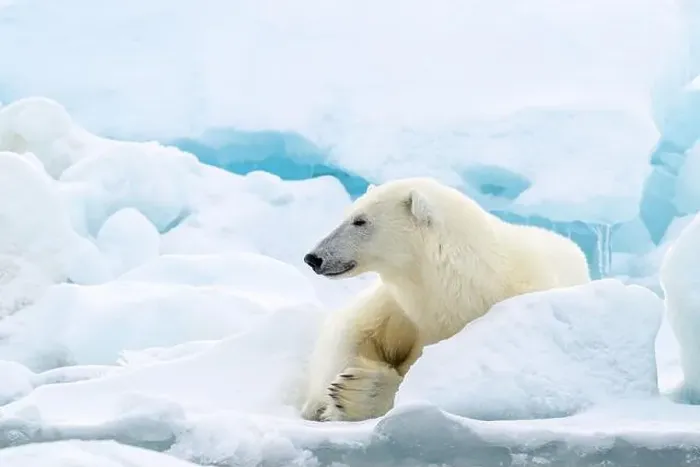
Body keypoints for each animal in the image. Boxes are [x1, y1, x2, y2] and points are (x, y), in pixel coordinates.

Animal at [300, 177, 591, 422]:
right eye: (347, 215)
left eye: (360, 221)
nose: (314, 257)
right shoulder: (398, 308)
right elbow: (346, 333)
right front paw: (326, 398)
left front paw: (355, 392)